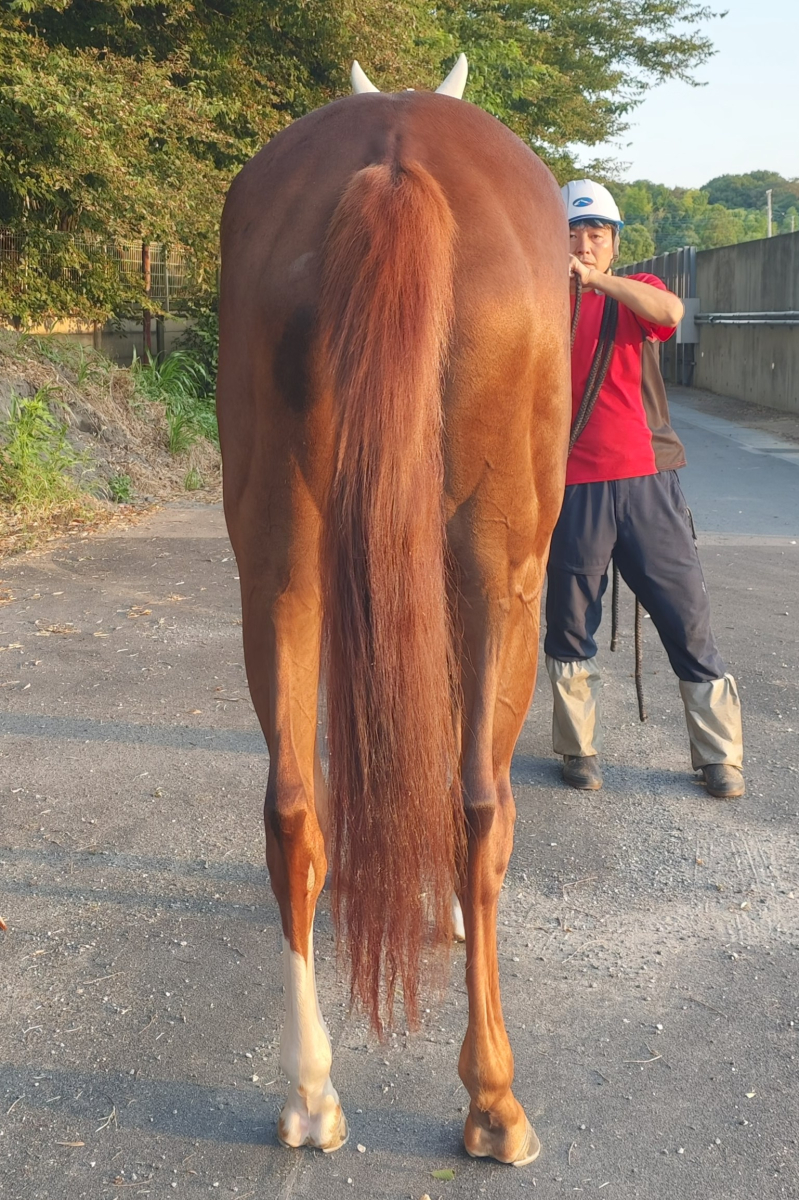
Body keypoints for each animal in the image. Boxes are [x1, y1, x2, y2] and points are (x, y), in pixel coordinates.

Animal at [216, 56, 570, 1166]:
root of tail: (395, 155)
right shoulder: (492, 579)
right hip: (502, 567)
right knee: (479, 804)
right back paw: (494, 1100)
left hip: (279, 562)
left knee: (294, 810)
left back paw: (311, 1091)